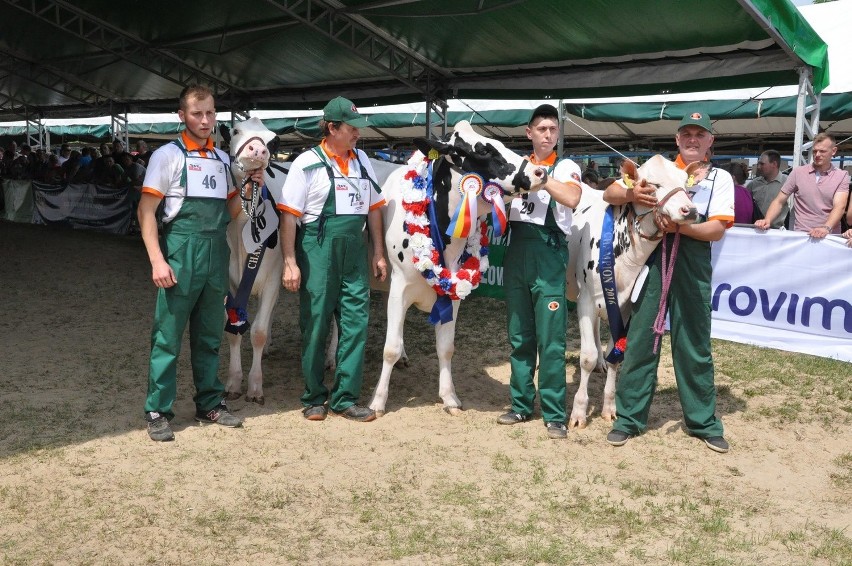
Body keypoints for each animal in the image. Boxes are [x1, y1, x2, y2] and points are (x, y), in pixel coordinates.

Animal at [564, 155, 700, 430]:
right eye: (653, 185)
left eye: (685, 183)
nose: (689, 210)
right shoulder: (585, 300)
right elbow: (586, 357)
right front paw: (579, 413)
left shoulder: (625, 304)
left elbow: (616, 355)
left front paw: (609, 407)